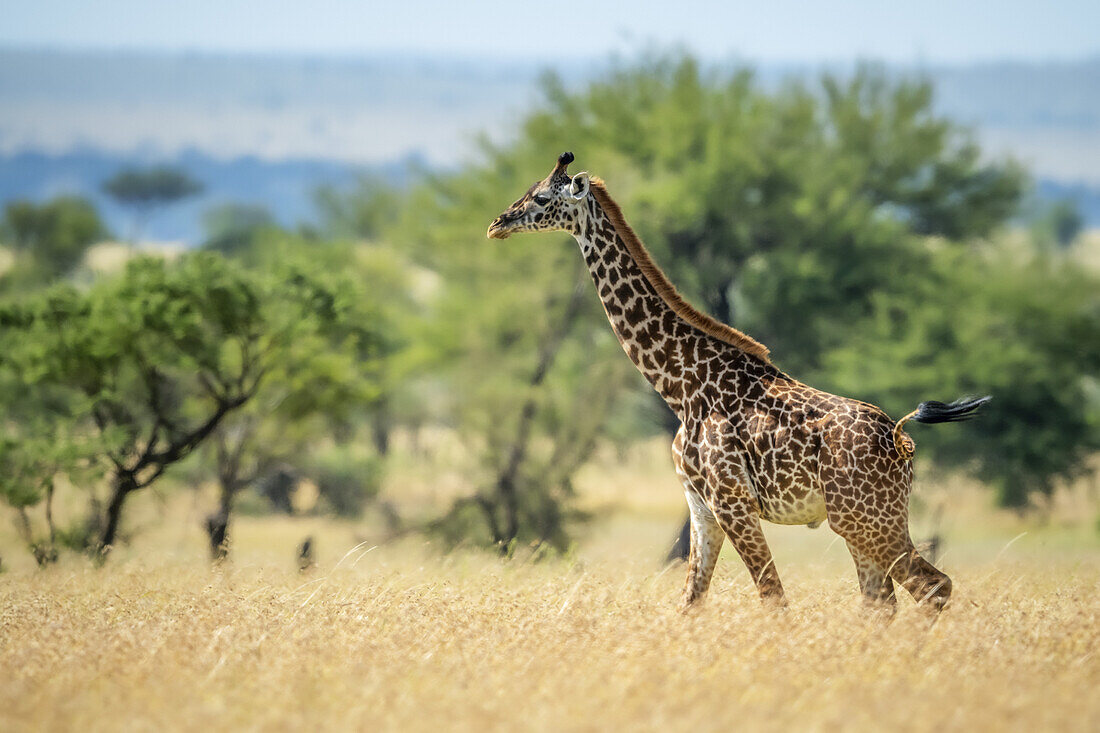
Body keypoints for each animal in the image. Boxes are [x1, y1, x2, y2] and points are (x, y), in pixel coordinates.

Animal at [486, 152, 994, 611]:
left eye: (542, 197)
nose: (496, 223)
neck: (680, 387)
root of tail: (900, 437)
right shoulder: (701, 505)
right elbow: (690, 601)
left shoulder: (732, 500)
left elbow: (772, 598)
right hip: (863, 519)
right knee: (881, 601)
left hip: (864, 518)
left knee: (932, 586)